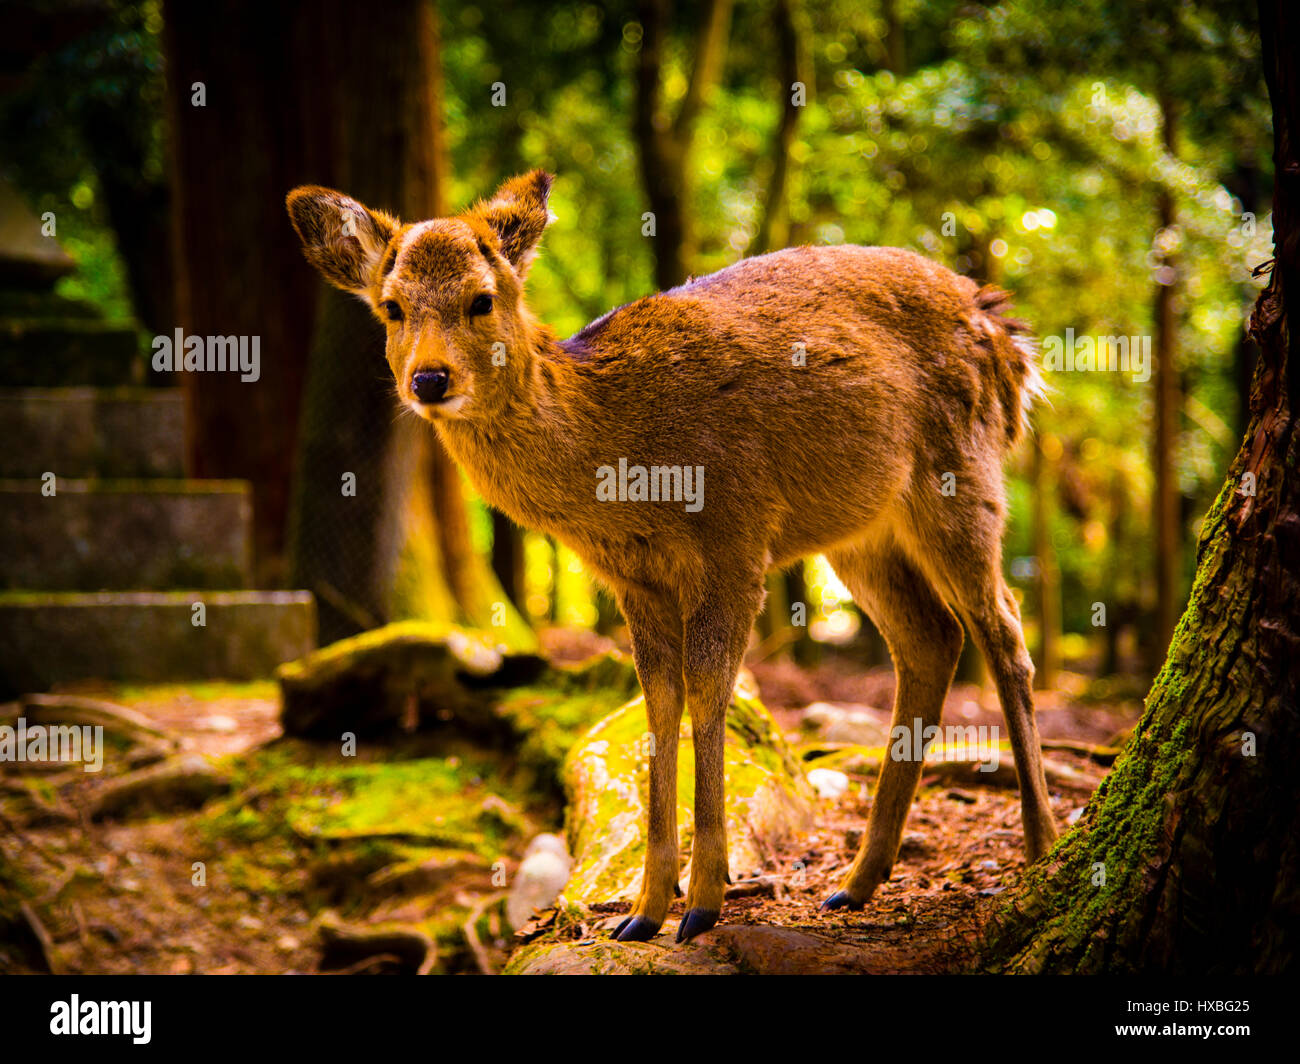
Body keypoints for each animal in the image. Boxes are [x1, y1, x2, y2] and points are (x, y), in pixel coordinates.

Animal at [284, 170, 1055, 941]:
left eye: (482, 299)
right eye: (391, 307)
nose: (429, 380)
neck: (621, 460)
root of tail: (1008, 335)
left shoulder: (735, 536)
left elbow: (710, 689)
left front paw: (706, 900)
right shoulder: (632, 576)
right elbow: (655, 703)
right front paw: (644, 909)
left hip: (961, 474)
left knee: (1004, 630)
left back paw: (1043, 845)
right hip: (861, 531)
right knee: (932, 637)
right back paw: (856, 883)